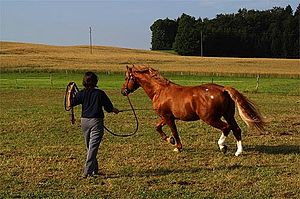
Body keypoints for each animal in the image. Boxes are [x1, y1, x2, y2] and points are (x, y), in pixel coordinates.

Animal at [120, 65, 264, 155]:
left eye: (126, 78)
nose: (123, 91)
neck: (160, 91)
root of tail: (223, 89)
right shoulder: (166, 117)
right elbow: (158, 127)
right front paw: (170, 140)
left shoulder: (168, 117)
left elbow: (174, 131)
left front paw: (177, 147)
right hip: (228, 115)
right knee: (236, 129)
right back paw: (238, 152)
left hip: (210, 119)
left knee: (226, 128)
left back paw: (222, 146)